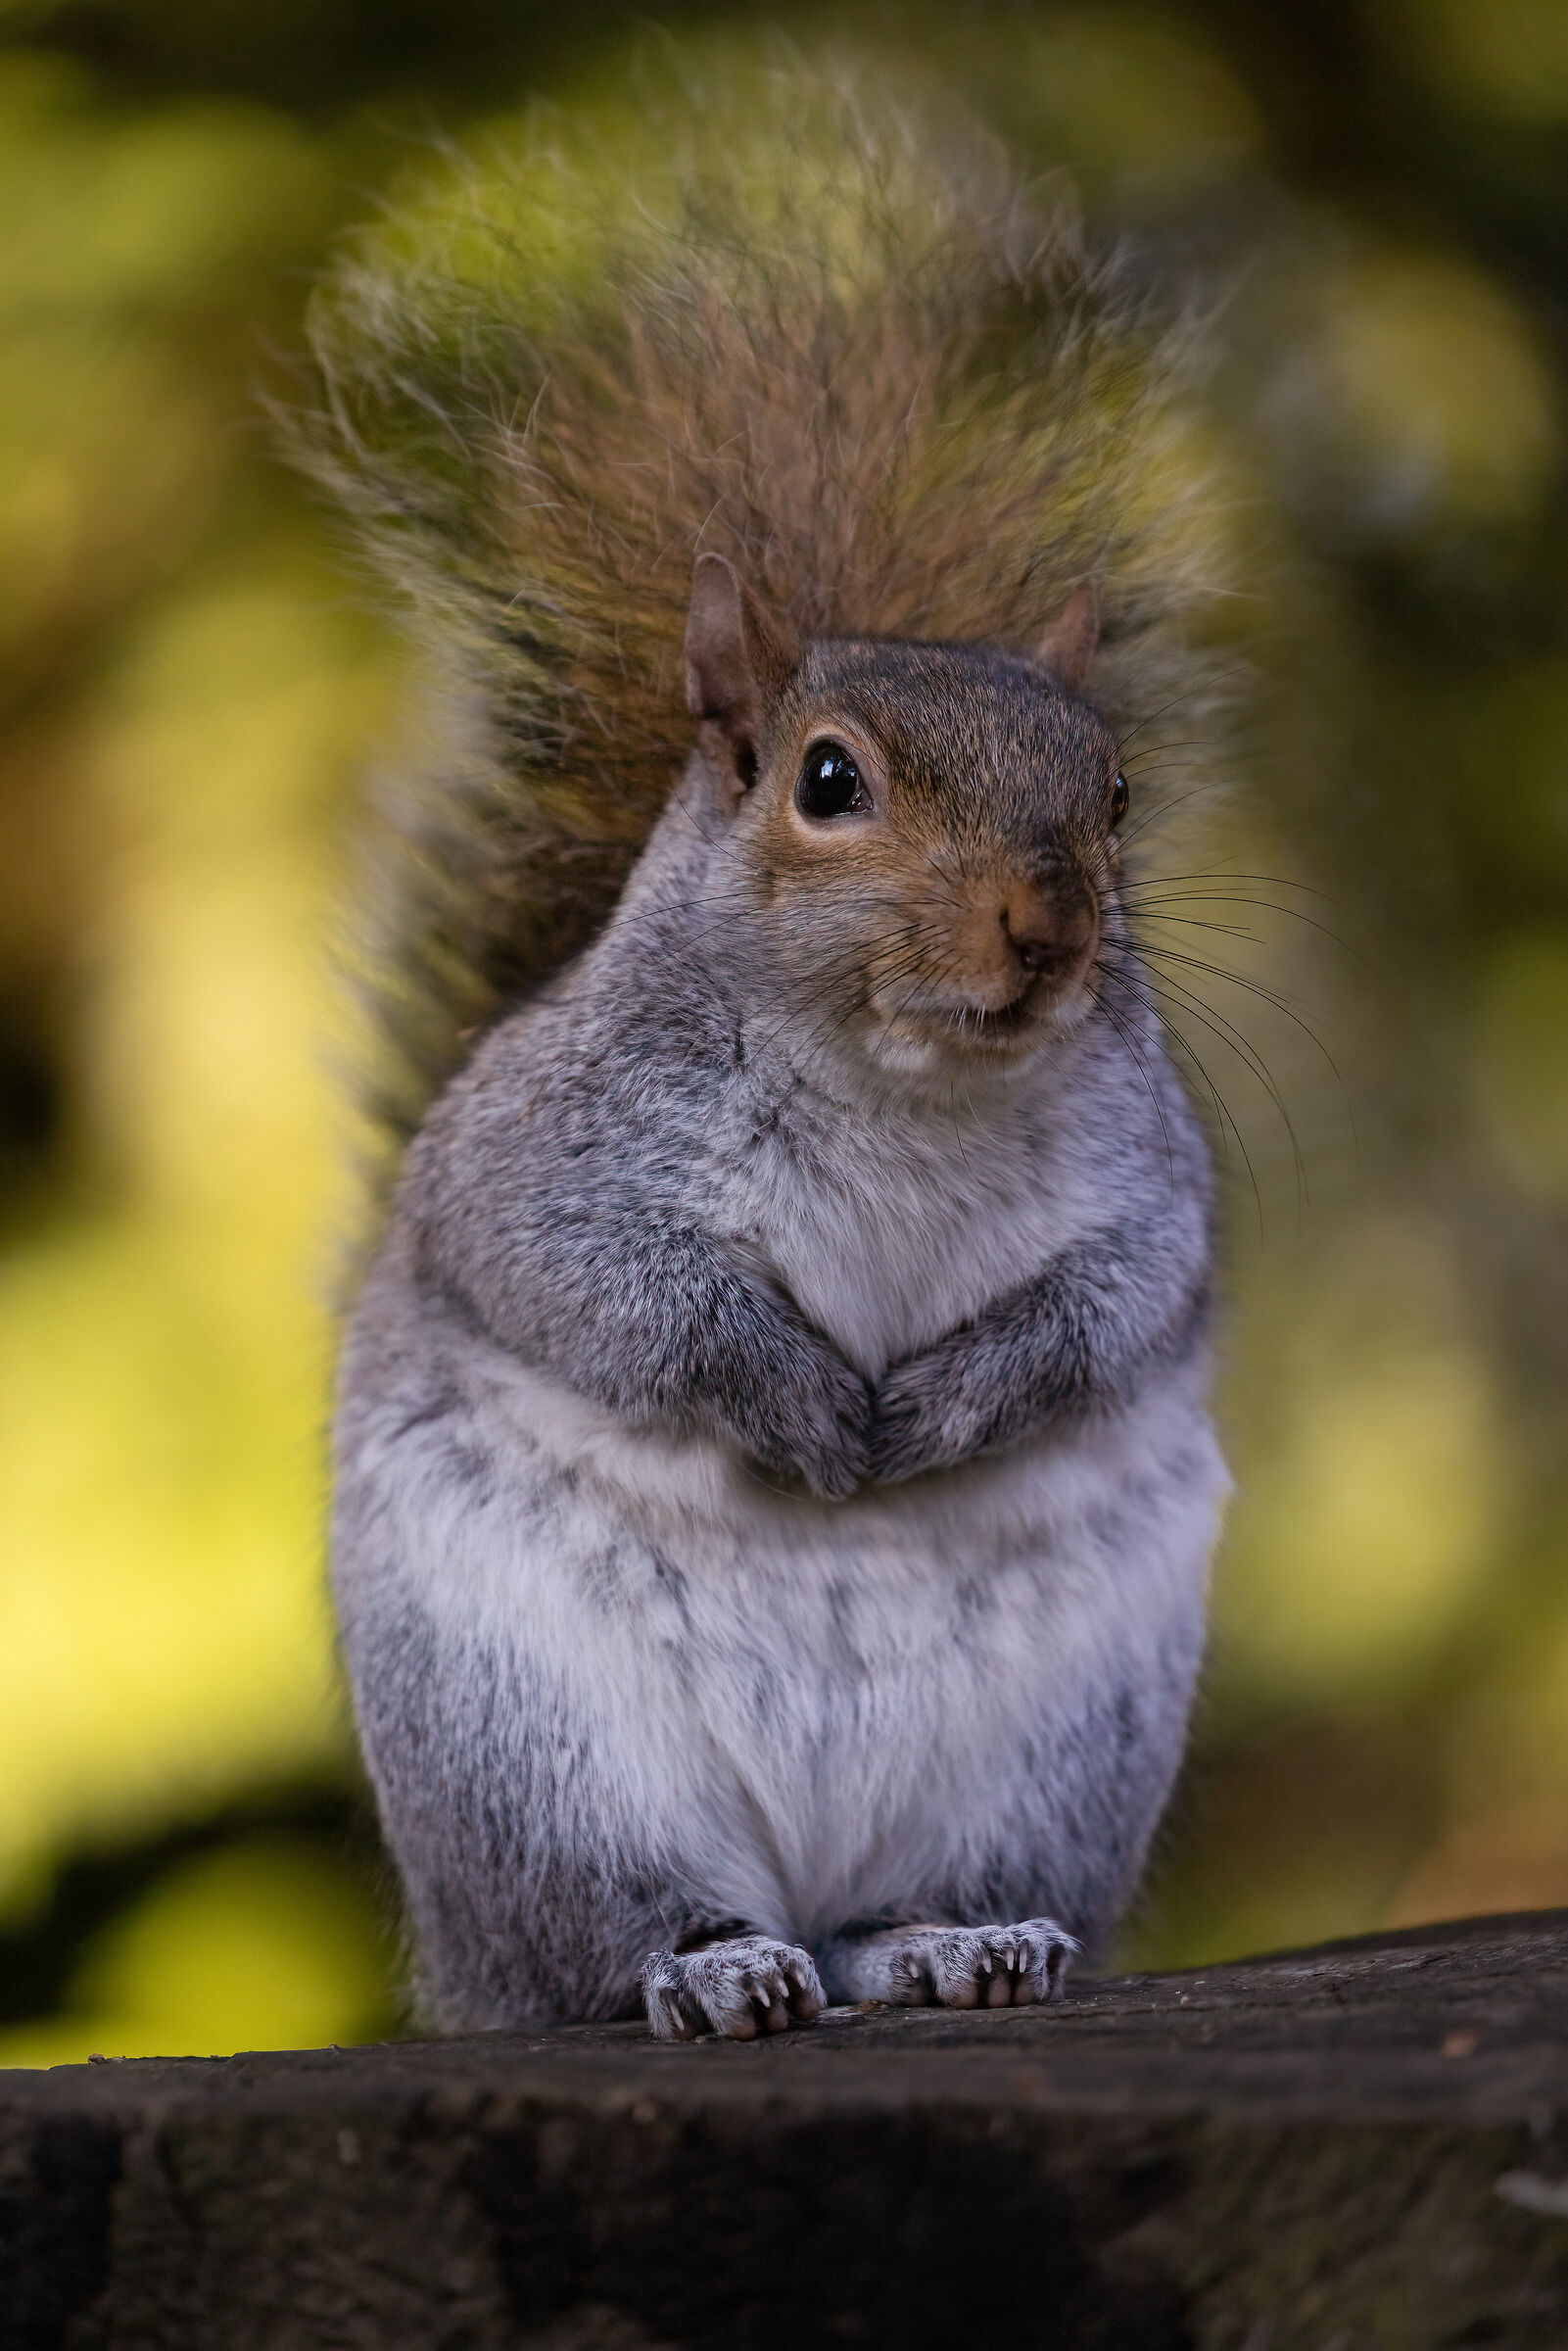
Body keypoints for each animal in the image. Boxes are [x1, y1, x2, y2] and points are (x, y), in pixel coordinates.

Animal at [304, 70, 1231, 2040]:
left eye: (1114, 795)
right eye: (825, 781)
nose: (1048, 930)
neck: (905, 1079)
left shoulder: (1147, 1182)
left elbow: (1117, 1305)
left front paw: (942, 1408)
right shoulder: (546, 1159)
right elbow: (610, 1290)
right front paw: (808, 1406)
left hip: (1057, 1754)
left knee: (894, 1918)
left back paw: (957, 1944)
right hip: (537, 1754)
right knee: (618, 1936)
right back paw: (715, 1971)